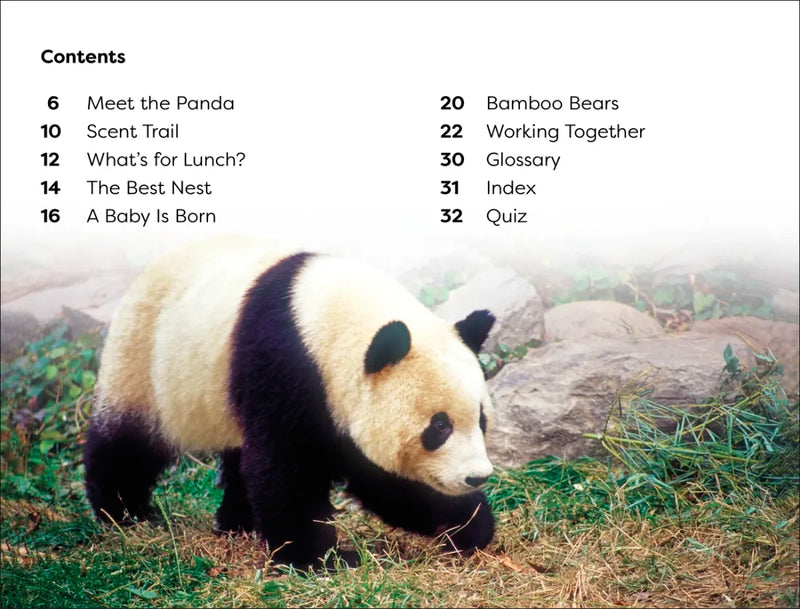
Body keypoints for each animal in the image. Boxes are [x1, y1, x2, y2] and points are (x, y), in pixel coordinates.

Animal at [84, 236, 497, 569]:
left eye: (481, 419)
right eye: (439, 426)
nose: (476, 476)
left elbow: (381, 477)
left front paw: (468, 524)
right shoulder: (285, 363)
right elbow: (285, 468)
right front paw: (316, 557)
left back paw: (236, 521)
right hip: (146, 357)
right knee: (129, 439)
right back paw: (123, 511)